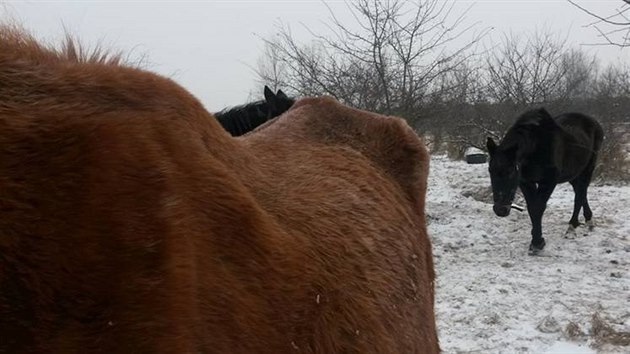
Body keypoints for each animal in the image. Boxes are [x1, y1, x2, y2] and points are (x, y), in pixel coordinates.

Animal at [488, 108, 608, 254]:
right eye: (490, 170)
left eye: (511, 171)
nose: (500, 210)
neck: (536, 147)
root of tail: (594, 122)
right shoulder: (526, 182)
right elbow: (532, 207)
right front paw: (536, 237)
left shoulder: (548, 181)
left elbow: (538, 207)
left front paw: (537, 242)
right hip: (573, 173)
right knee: (580, 192)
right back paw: (588, 219)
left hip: (588, 168)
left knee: (580, 195)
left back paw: (572, 227)